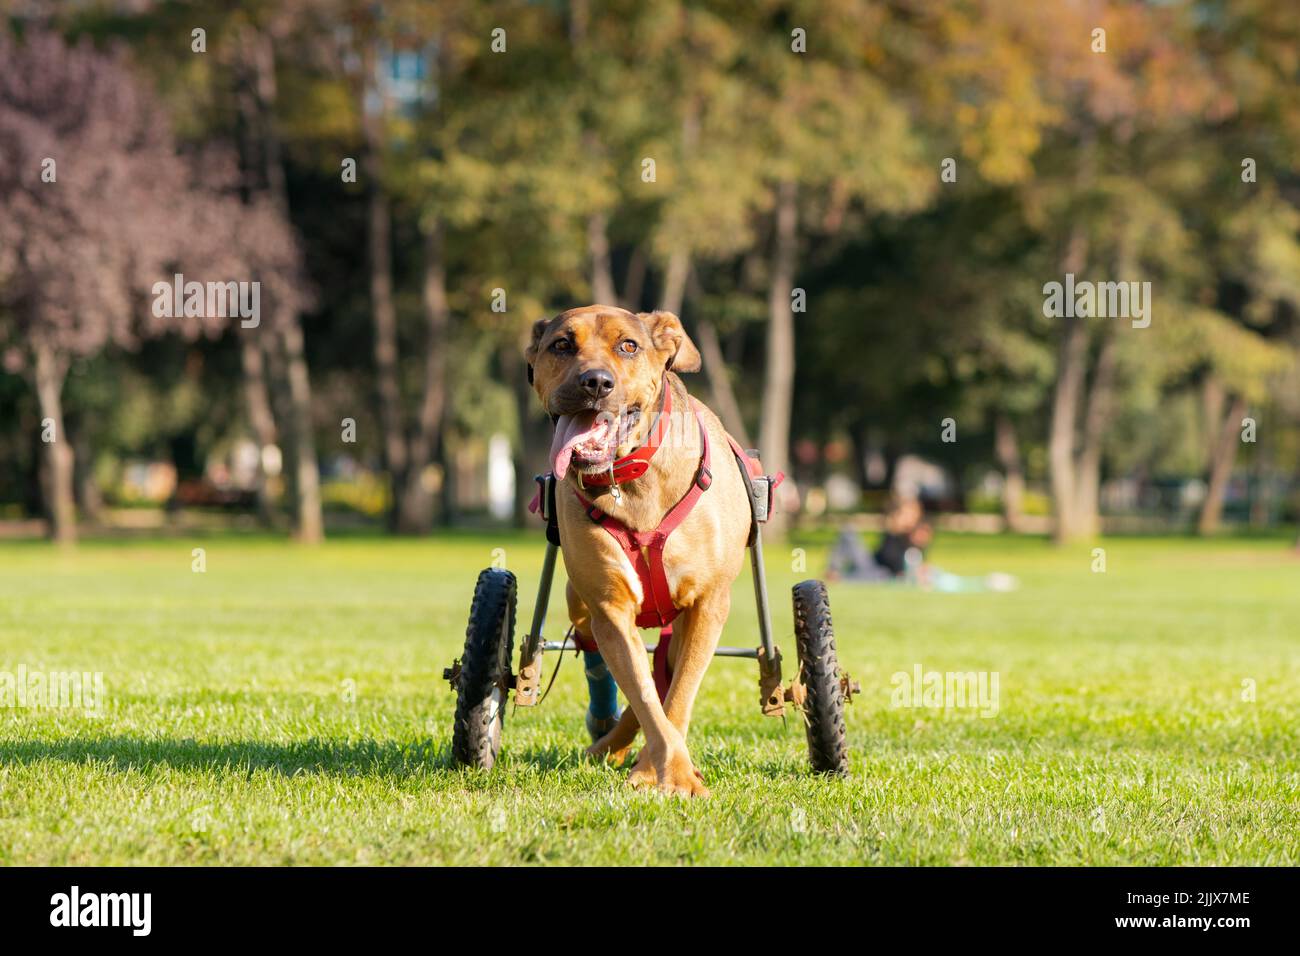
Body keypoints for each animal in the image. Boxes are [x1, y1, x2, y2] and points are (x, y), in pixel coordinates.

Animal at [525, 308, 754, 801]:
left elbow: (678, 693)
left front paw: (667, 773)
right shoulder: (610, 606)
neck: (632, 476)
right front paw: (665, 771)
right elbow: (647, 695)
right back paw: (604, 741)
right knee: (600, 650)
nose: (595, 382)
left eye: (628, 345)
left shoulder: (708, 603)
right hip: (578, 599)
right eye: (561, 345)